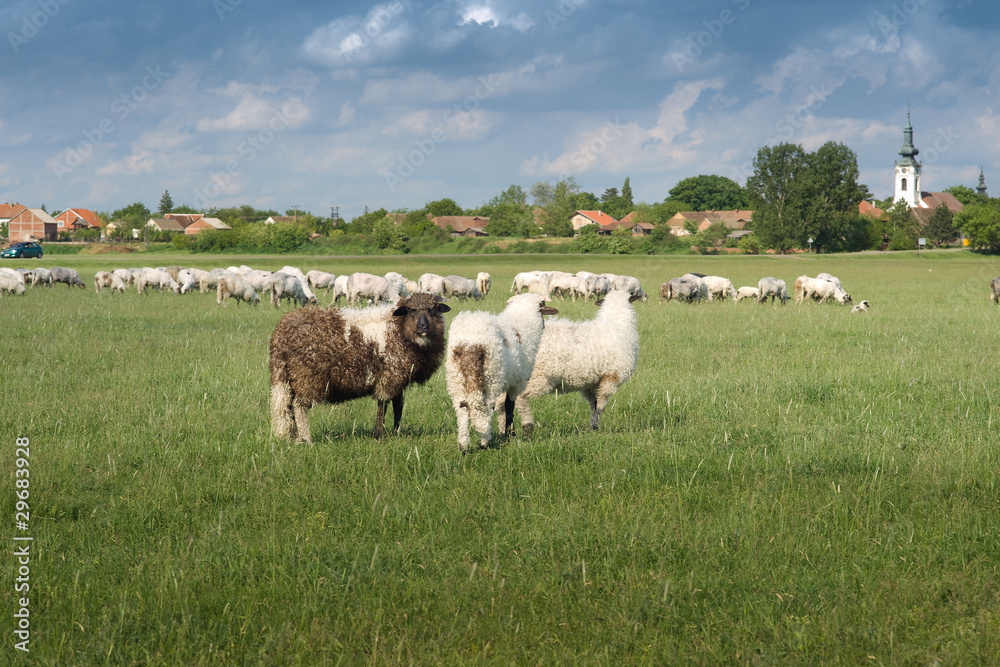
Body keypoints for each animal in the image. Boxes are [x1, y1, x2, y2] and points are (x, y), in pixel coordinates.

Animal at [269, 292, 451, 443]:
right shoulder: (389, 377)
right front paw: (379, 434)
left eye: (433, 310)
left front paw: (396, 431)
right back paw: (306, 439)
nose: (423, 327)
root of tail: (282, 334)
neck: (398, 328)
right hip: (307, 377)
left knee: (288, 407)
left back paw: (294, 437)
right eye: (411, 310)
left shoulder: (398, 378)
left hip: (289, 379)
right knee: (299, 406)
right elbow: (383, 405)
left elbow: (398, 406)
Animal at [445, 293, 558, 453]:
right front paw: (510, 434)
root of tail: (470, 344)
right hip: (491, 376)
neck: (523, 321)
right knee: (486, 407)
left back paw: (463, 446)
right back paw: (485, 442)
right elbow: (509, 407)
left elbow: (503, 408)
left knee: (462, 408)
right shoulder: (516, 383)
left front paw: (504, 432)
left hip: (456, 378)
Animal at [504, 290, 640, 434]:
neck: (617, 325)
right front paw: (595, 427)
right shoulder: (610, 378)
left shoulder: (591, 384)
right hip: (536, 377)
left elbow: (593, 405)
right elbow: (600, 407)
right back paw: (526, 425)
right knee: (518, 398)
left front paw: (592, 427)